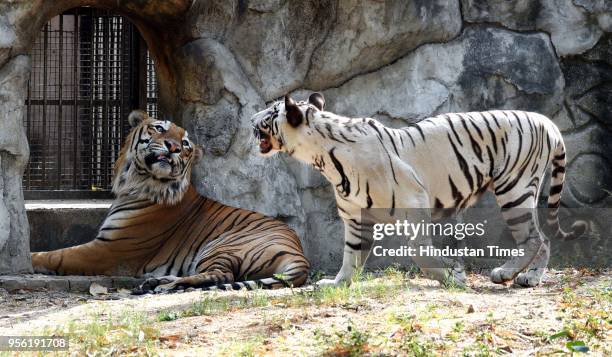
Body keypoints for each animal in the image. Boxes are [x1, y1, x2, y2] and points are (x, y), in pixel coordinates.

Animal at [251, 92, 584, 286]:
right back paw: (530, 277)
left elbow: (419, 250)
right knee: (544, 239)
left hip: (514, 188)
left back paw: (507, 273)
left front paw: (454, 276)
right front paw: (337, 284)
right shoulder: (356, 218)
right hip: (524, 190)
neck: (323, 157)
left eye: (270, 111)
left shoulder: (413, 199)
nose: (250, 118)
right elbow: (351, 257)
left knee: (533, 238)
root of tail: (548, 123)